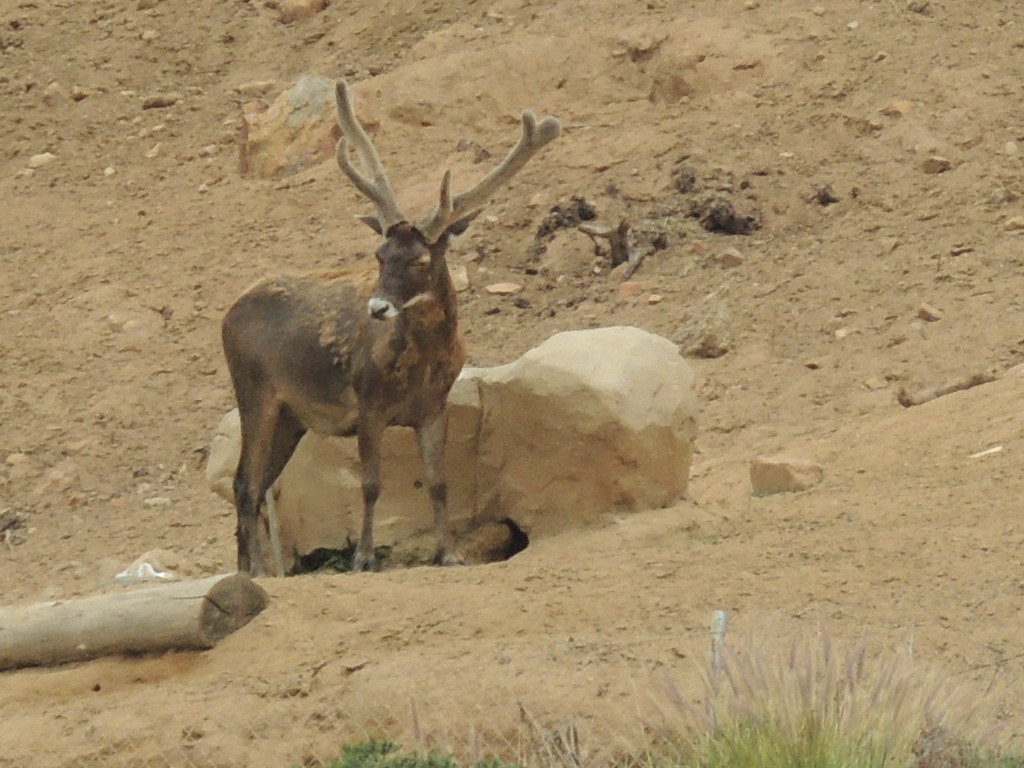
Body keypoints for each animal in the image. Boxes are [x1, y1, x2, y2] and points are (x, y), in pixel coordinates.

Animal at [221, 79, 561, 576]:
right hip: (254, 391)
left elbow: (439, 482)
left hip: (291, 416)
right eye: (380, 256)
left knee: (251, 481)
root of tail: (228, 314)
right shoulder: (368, 403)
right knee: (245, 483)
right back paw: (258, 572)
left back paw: (247, 568)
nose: (378, 307)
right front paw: (364, 558)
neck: (420, 365)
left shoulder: (434, 406)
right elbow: (371, 484)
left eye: (420, 259)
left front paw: (451, 554)